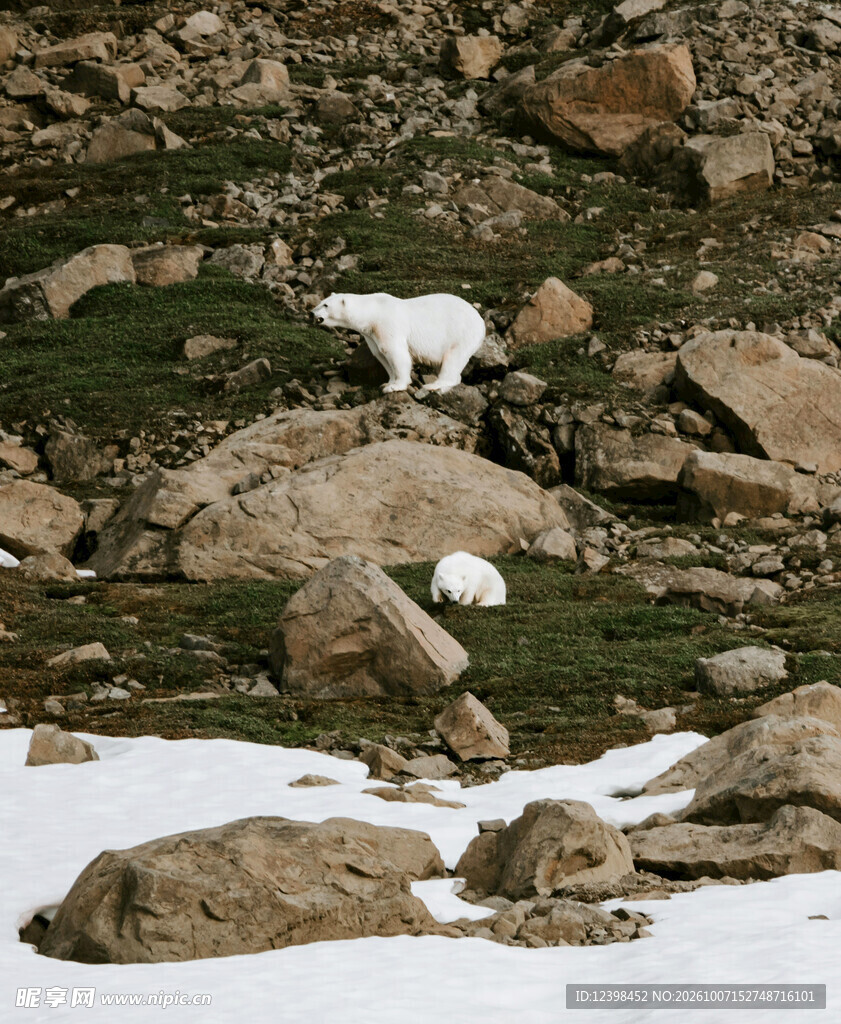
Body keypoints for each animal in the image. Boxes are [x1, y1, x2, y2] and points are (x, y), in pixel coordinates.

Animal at [312, 291, 485, 394]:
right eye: (322, 301)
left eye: (325, 305)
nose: (311, 312)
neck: (372, 311)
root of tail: (481, 321)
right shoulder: (372, 334)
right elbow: (381, 354)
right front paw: (387, 383)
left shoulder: (388, 324)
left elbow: (396, 353)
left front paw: (396, 386)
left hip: (460, 333)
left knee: (453, 358)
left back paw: (434, 385)